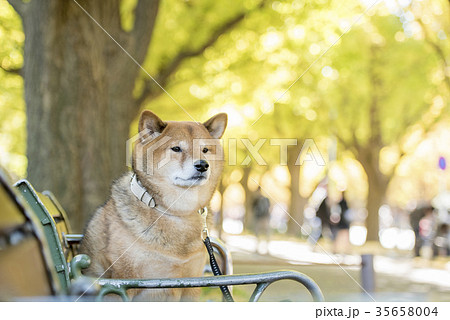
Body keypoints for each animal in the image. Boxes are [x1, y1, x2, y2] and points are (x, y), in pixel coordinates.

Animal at [79, 110, 227, 300]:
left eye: (205, 150)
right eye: (176, 149)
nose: (202, 165)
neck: (177, 213)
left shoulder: (192, 285)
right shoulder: (122, 283)